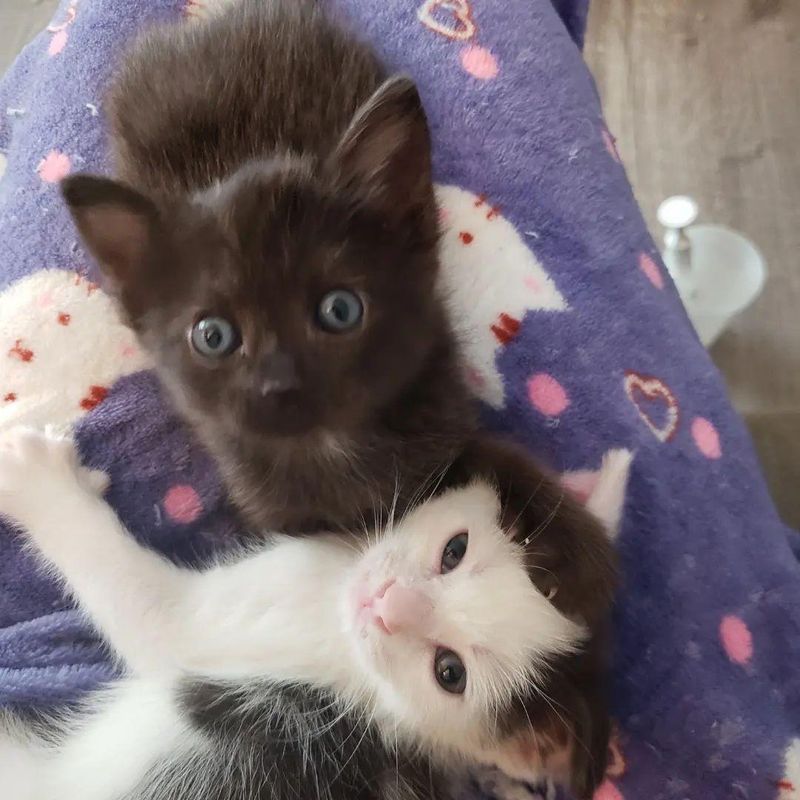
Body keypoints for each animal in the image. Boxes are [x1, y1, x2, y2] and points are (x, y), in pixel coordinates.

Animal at [0, 432, 632, 800]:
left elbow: (144, 606)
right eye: (455, 550)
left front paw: (34, 477)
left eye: (450, 672)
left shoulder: (221, 620)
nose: (385, 605)